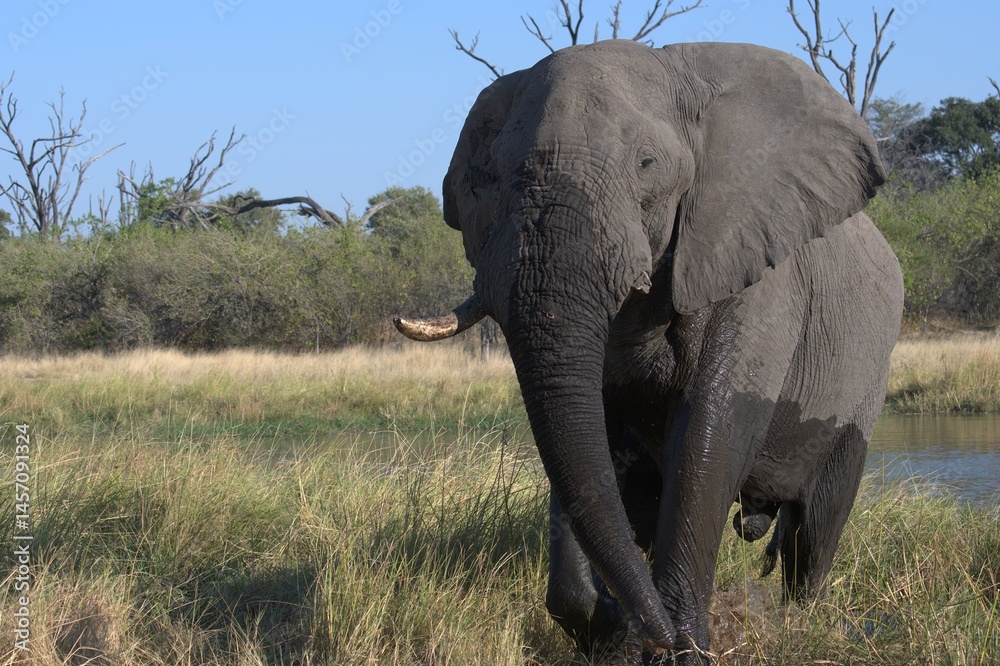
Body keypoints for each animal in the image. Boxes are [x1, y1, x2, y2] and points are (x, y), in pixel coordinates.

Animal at [394, 40, 903, 664]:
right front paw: (620, 636)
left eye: (646, 164)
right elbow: (591, 441)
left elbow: (709, 435)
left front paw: (683, 648)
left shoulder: (755, 267)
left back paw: (797, 622)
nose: (649, 628)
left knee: (817, 530)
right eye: (486, 177)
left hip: (864, 384)